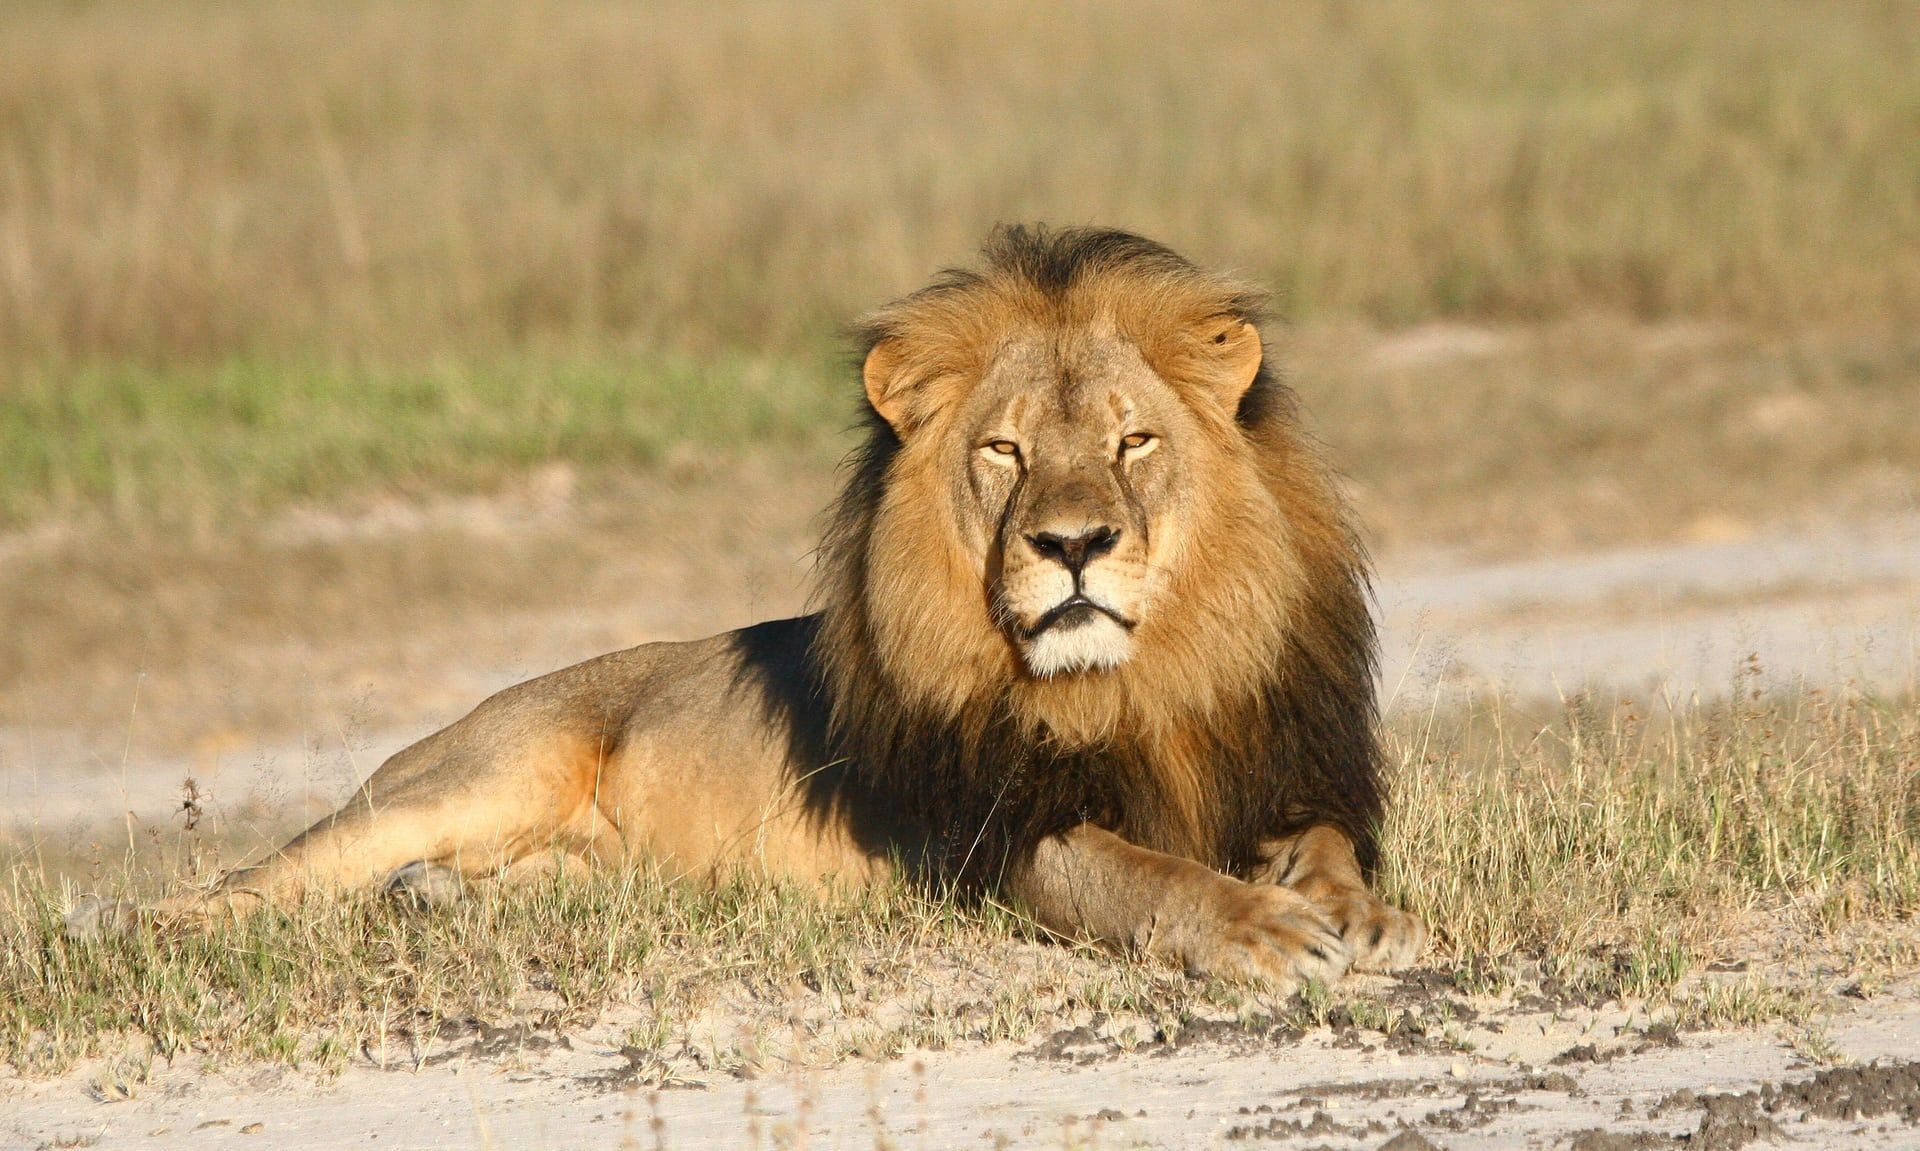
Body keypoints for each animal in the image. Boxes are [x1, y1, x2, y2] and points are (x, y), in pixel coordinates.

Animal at [70, 226, 1426, 989]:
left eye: (1134, 441)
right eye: (1003, 451)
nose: (1075, 543)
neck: (1138, 682)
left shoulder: (1281, 768)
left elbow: (1328, 844)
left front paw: (1358, 916)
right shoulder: (993, 838)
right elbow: (1140, 874)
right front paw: (1262, 929)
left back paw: (436, 898)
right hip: (473, 773)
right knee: (261, 878)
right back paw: (119, 923)